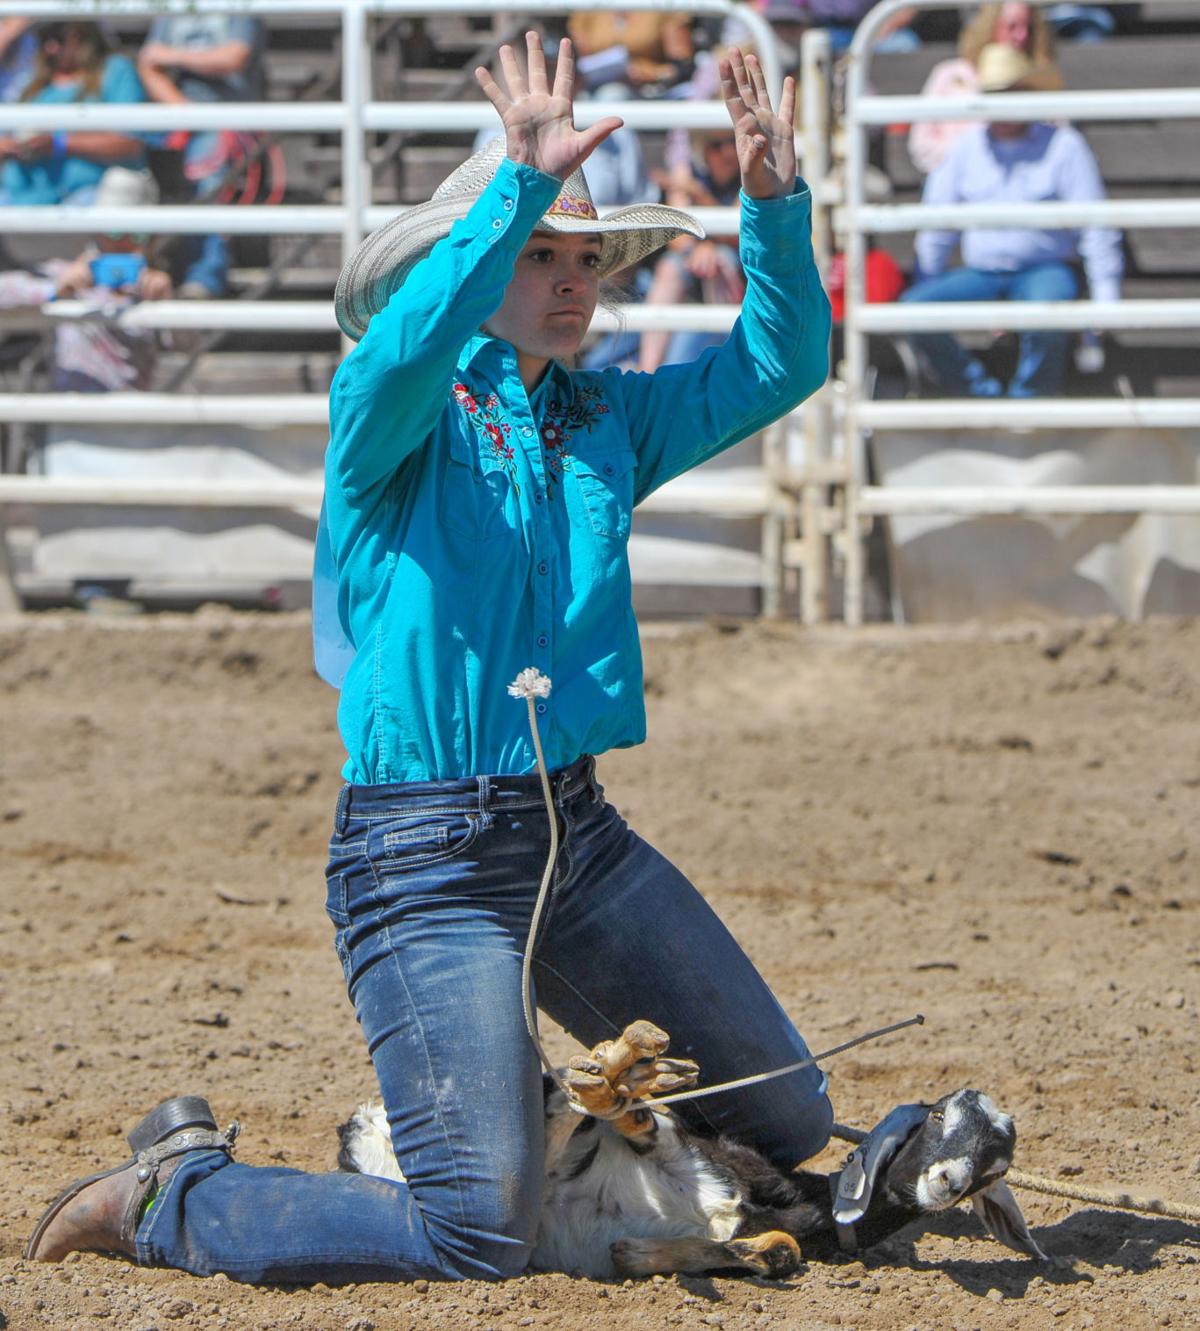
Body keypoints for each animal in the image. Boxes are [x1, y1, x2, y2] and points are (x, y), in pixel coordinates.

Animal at [335, 1016, 1043, 1277]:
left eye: (996, 1166)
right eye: (940, 1114)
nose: (949, 1181)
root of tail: (364, 1124)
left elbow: (778, 1253)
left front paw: (638, 1252)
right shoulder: (691, 1154)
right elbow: (643, 1131)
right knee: (562, 1106)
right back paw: (621, 1069)